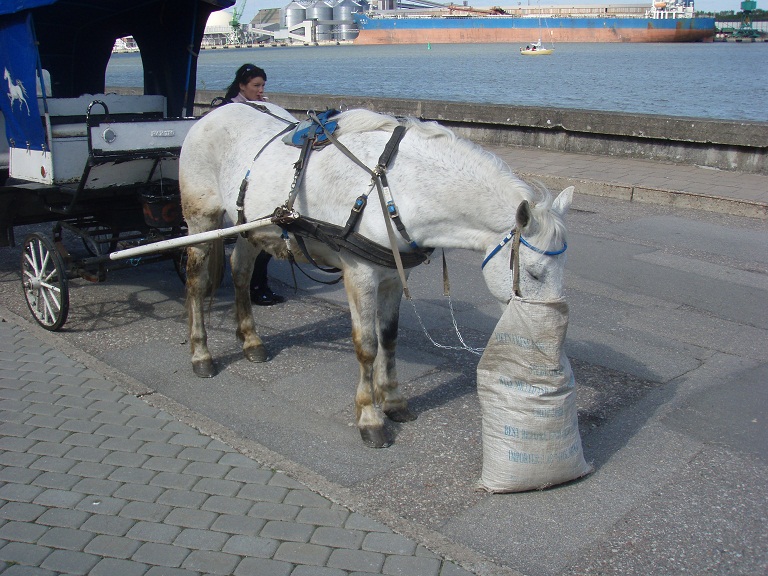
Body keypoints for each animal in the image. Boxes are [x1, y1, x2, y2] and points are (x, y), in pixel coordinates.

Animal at [180, 101, 572, 448]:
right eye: (534, 273)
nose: (549, 340)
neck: (396, 187)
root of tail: (214, 113)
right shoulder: (361, 275)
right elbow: (367, 346)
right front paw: (370, 418)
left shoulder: (393, 276)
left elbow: (390, 337)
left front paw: (394, 401)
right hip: (202, 220)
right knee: (197, 284)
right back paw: (200, 354)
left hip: (251, 226)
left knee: (241, 273)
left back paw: (250, 340)